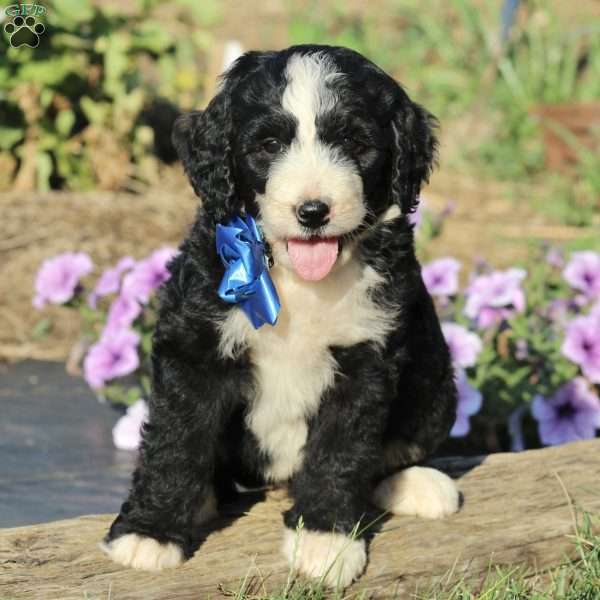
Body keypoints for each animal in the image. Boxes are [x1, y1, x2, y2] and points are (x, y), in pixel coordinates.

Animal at [102, 44, 460, 588]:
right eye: (269, 145)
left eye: (356, 143)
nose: (313, 211)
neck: (296, 277)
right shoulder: (195, 345)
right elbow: (175, 439)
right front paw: (151, 530)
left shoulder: (367, 357)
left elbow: (342, 449)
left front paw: (324, 539)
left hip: (435, 379)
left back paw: (414, 484)